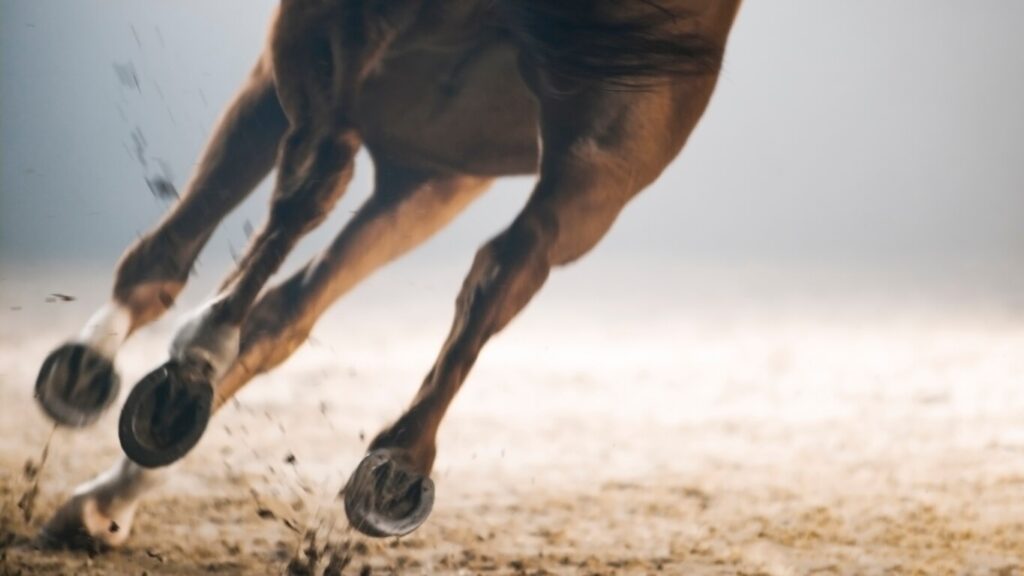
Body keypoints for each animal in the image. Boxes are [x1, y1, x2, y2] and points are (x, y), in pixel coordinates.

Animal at [33, 0, 742, 548]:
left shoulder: (303, 89)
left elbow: (177, 254)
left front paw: (90, 375)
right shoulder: (433, 175)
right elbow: (284, 307)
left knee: (324, 177)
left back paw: (190, 371)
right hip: (601, 156)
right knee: (501, 261)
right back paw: (394, 461)